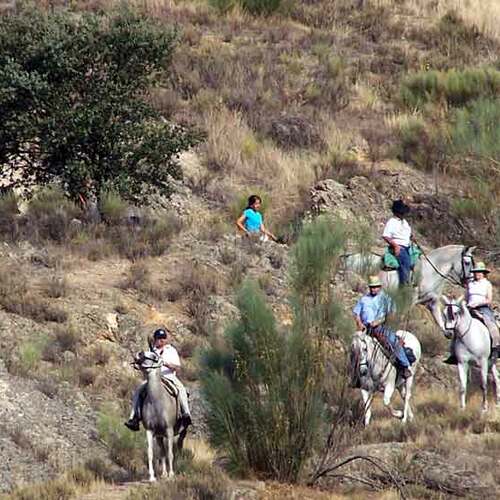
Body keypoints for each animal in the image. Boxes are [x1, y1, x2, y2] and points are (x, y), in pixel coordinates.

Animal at [134, 352, 187, 480]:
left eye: (154, 356)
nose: (138, 354)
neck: (157, 401)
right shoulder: (150, 430)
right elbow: (151, 453)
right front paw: (152, 477)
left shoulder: (169, 430)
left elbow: (170, 453)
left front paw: (171, 474)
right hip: (159, 436)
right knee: (162, 452)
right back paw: (163, 474)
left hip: (181, 431)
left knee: (178, 446)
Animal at [344, 244, 476, 330]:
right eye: (467, 262)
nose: (468, 281)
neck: (430, 271)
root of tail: (350, 257)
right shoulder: (411, 299)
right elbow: (402, 316)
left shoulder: (432, 302)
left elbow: (440, 322)